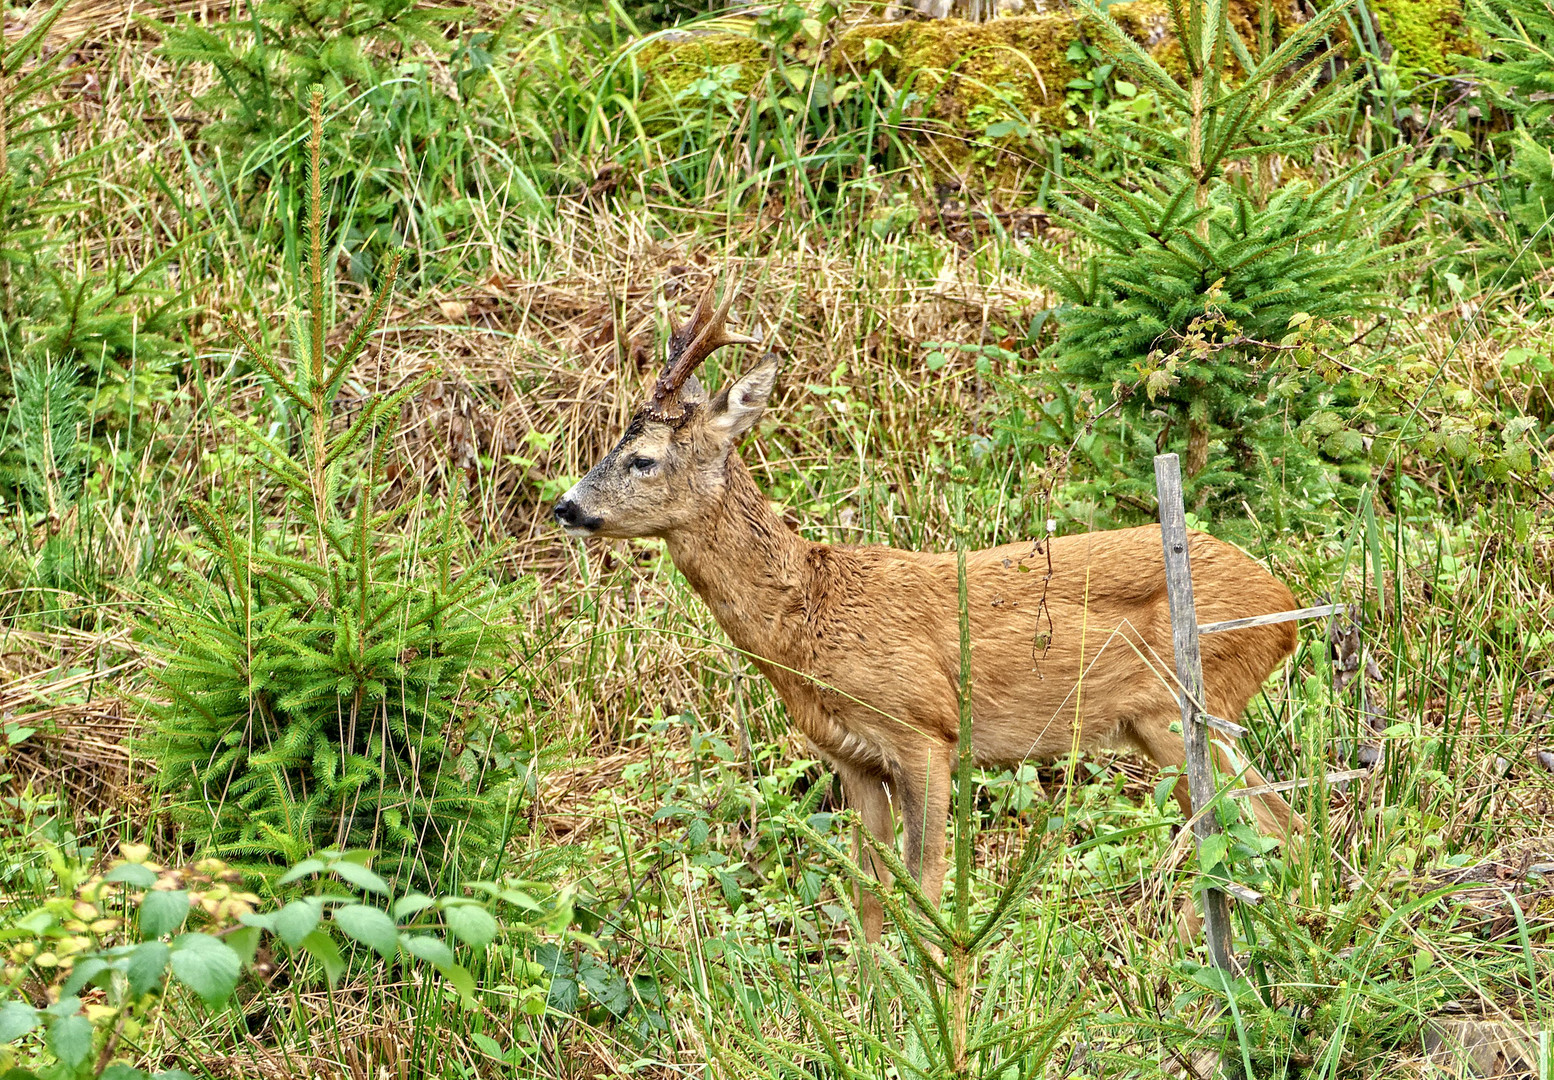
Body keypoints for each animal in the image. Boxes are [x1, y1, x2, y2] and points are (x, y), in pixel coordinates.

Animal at [553, 281, 1305, 944]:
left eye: (643, 459)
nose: (565, 506)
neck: (807, 620)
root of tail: (1288, 607)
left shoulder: (926, 730)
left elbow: (928, 881)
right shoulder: (852, 760)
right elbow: (869, 894)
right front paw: (872, 999)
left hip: (1184, 704)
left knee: (1269, 825)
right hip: (1162, 726)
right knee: (1257, 824)